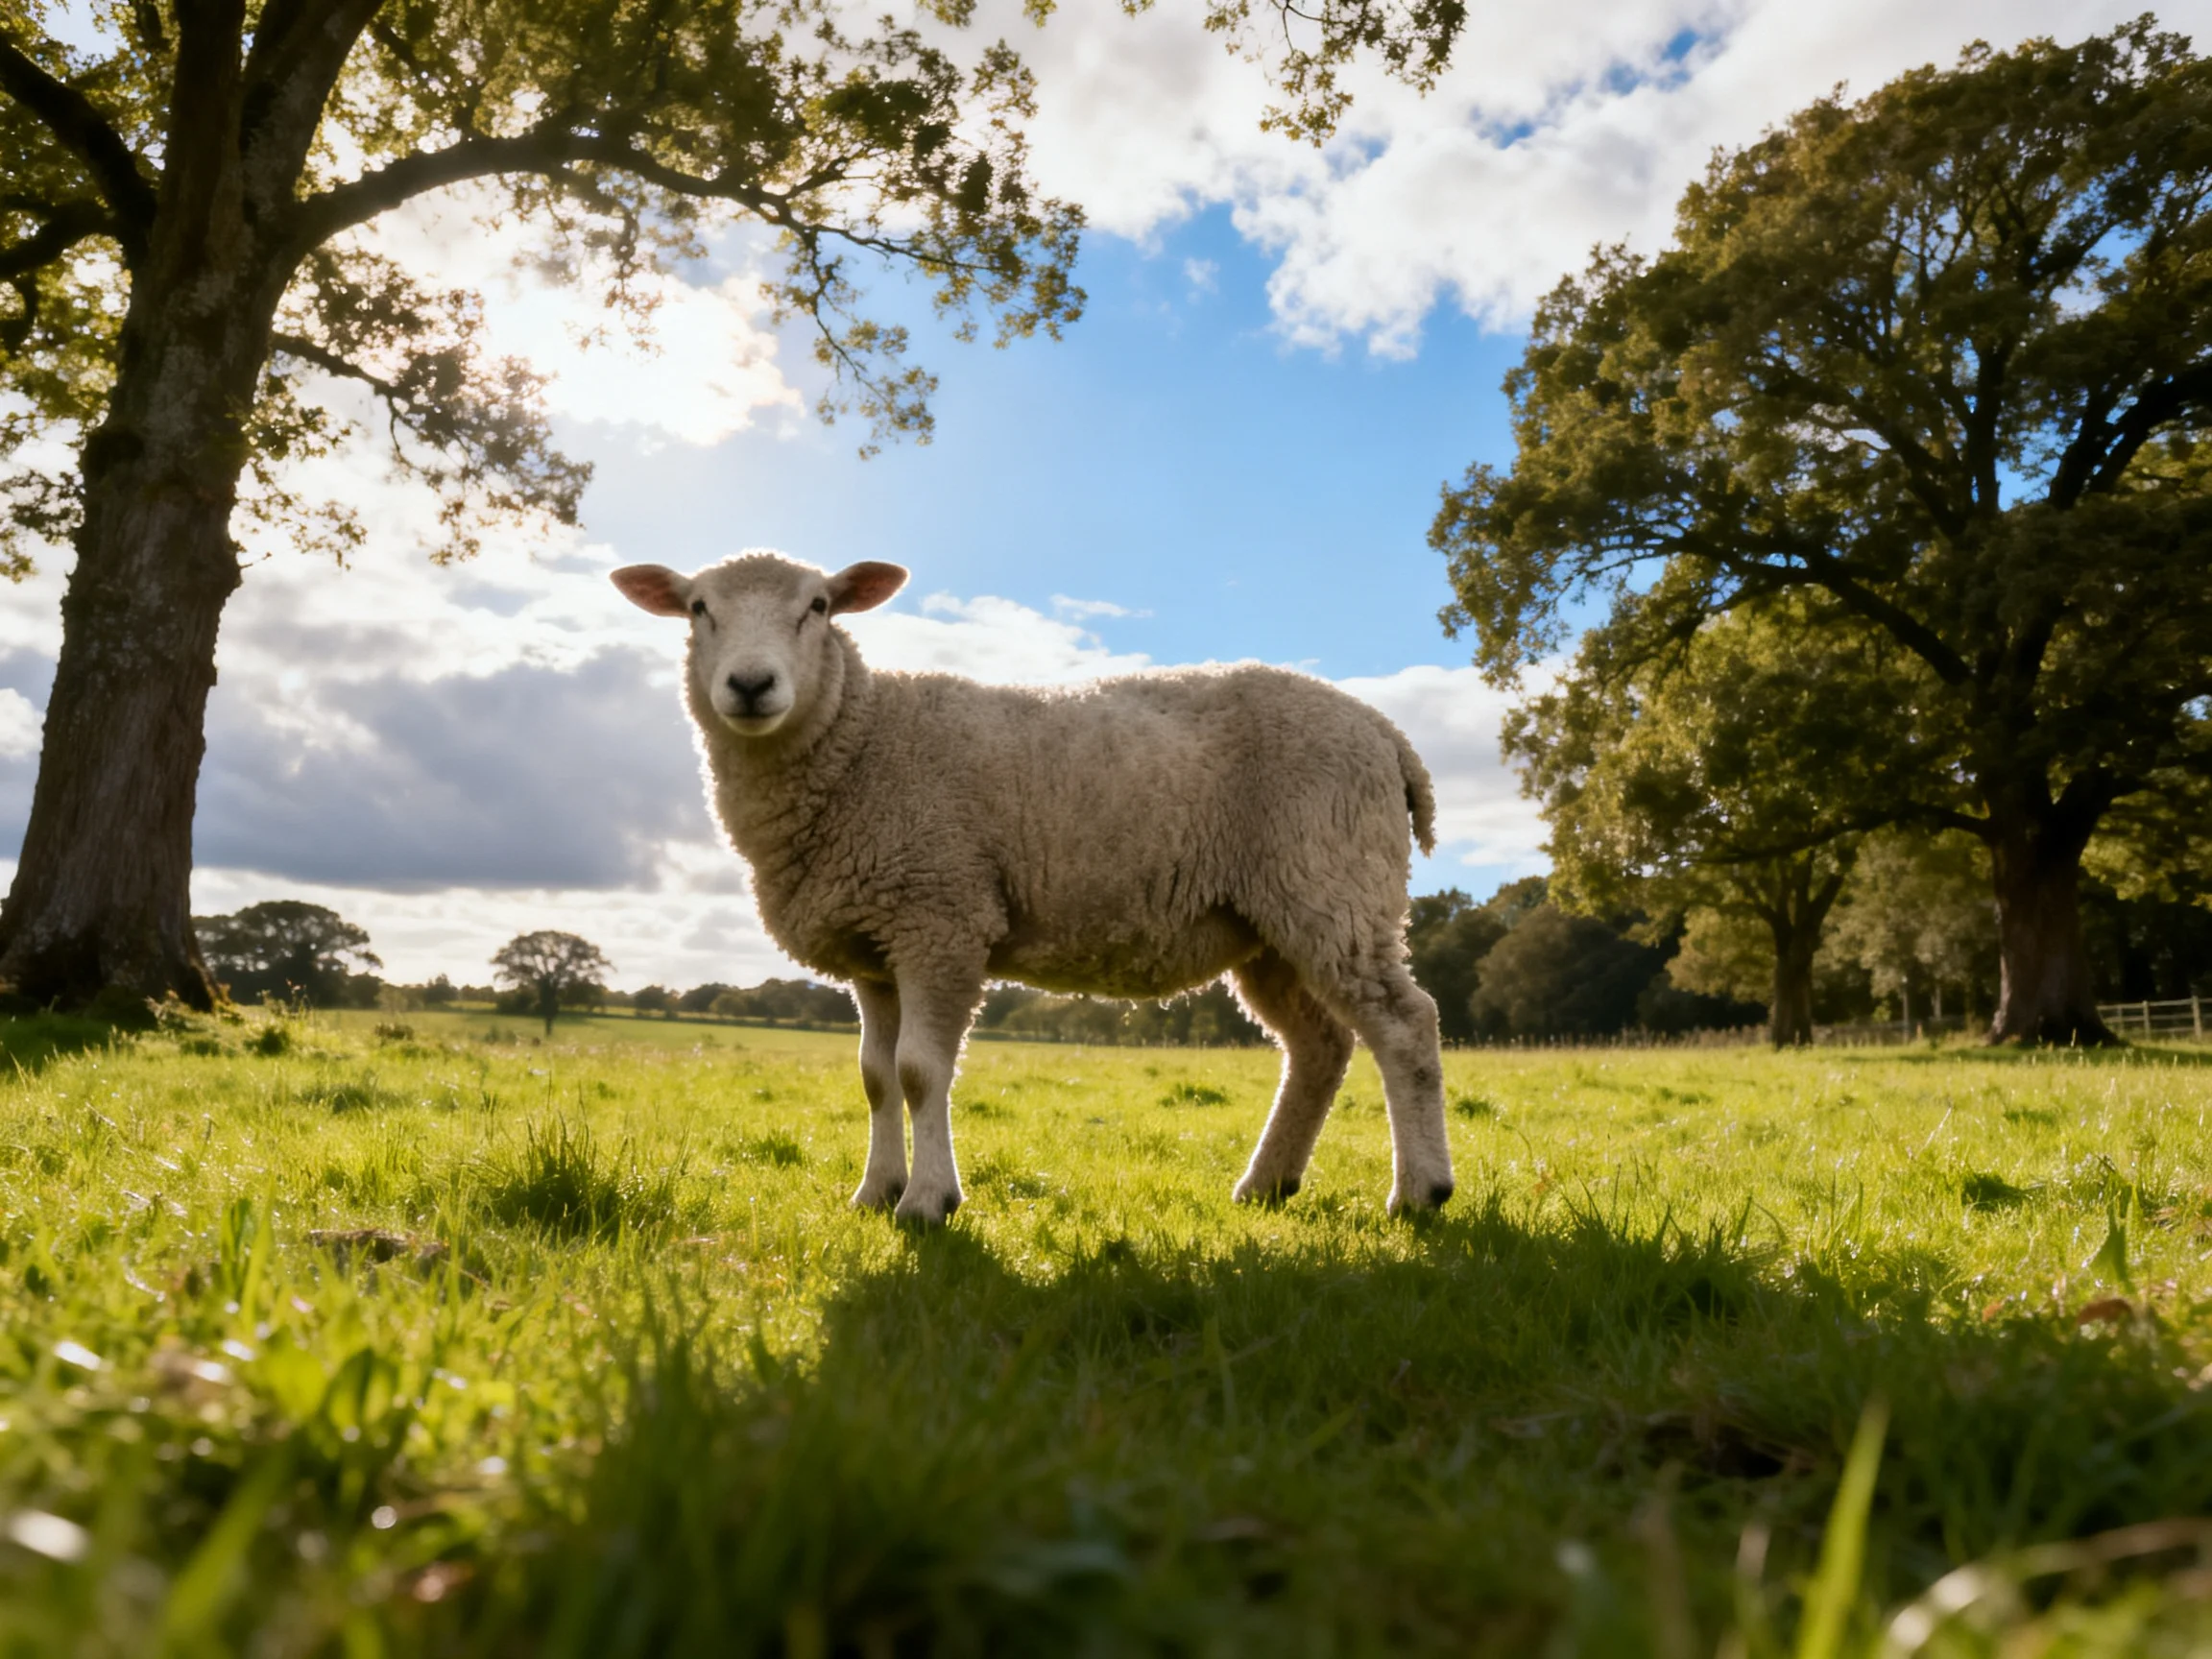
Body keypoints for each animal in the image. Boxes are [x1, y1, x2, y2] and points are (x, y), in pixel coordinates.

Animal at [612, 551, 1454, 1226]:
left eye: (817, 606)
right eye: (698, 607)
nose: (751, 684)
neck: (861, 739)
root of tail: (1387, 735)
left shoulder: (941, 916)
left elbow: (921, 1072)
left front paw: (928, 1202)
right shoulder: (875, 946)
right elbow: (876, 1079)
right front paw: (875, 1193)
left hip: (1333, 882)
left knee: (1405, 1025)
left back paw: (1420, 1192)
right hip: (1269, 924)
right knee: (1320, 1046)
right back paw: (1267, 1184)